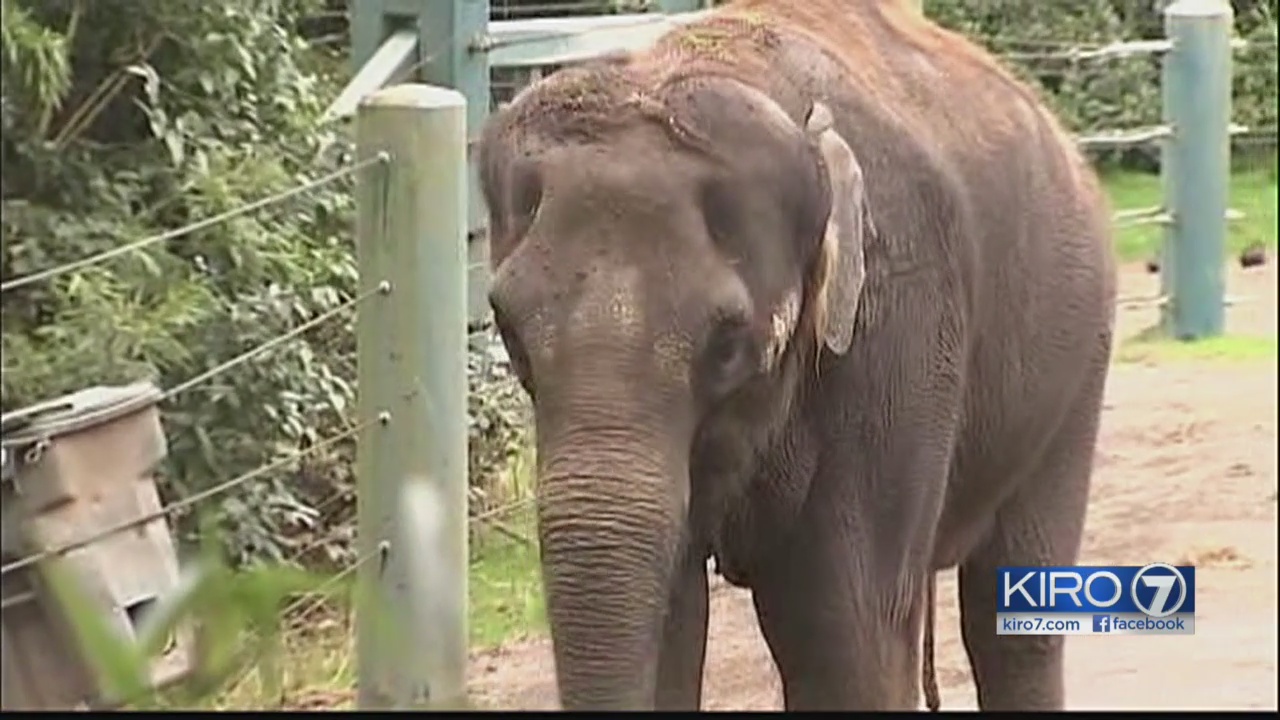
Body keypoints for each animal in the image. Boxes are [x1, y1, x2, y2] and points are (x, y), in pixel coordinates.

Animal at [476, 0, 1118, 711]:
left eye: (729, 344)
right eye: (507, 328)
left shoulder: (899, 321)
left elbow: (842, 637)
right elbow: (673, 620)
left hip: (1078, 365)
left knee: (1011, 619)